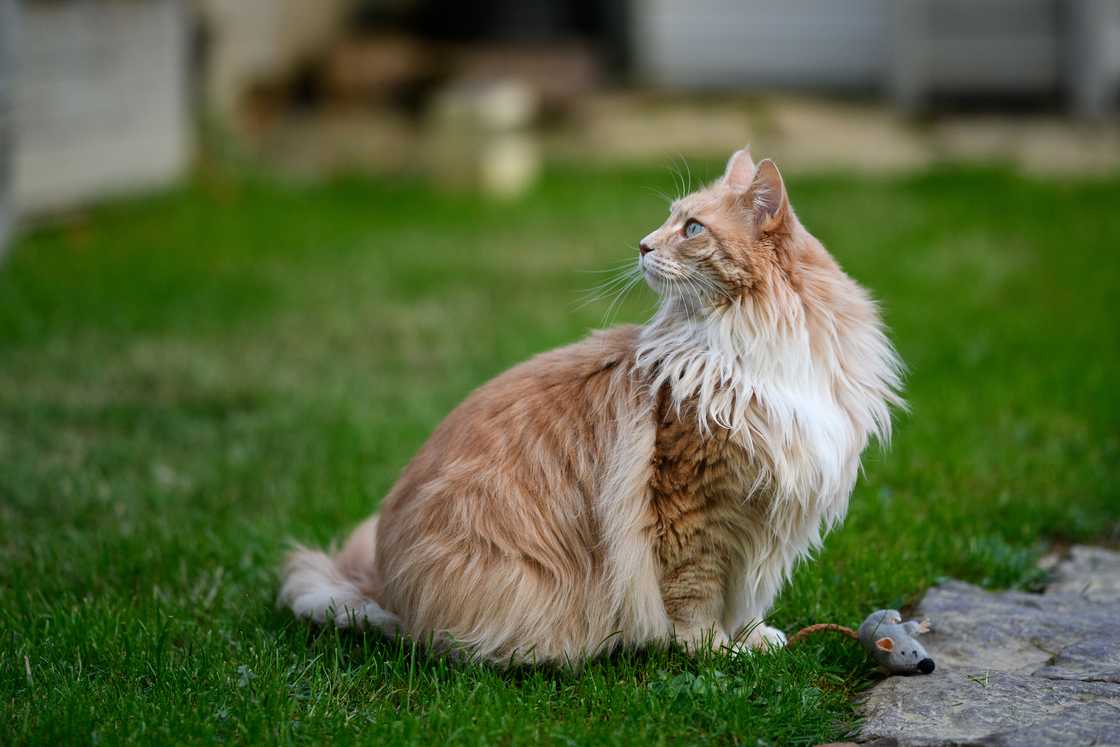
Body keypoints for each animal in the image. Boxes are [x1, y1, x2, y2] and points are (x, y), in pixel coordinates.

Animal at [280, 148, 900, 663]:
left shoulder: (762, 516)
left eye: (691, 229)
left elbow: (745, 594)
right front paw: (711, 650)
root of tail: (385, 584)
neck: (754, 346)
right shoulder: (694, 503)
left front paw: (750, 639)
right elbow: (697, 593)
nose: (643, 246)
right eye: (669, 220)